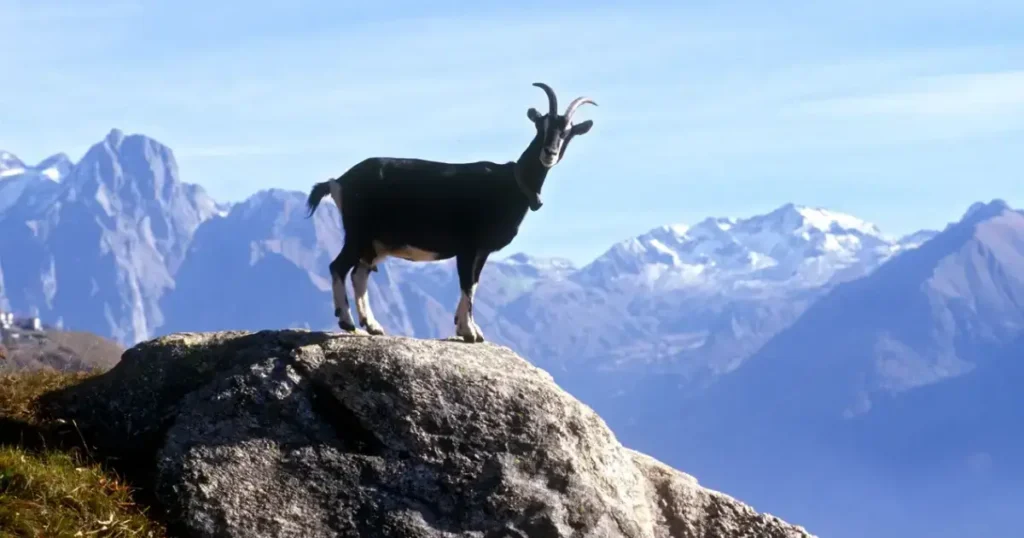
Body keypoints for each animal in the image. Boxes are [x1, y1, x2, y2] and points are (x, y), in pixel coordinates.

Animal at [306, 82, 596, 342]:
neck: (511, 183)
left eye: (568, 132)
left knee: (359, 273)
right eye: (540, 126)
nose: (549, 153)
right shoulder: (468, 246)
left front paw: (466, 328)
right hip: (359, 231)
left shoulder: (480, 250)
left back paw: (373, 326)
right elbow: (467, 283)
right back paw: (347, 321)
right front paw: (470, 332)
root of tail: (338, 181)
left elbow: (474, 283)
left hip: (375, 242)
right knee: (339, 266)